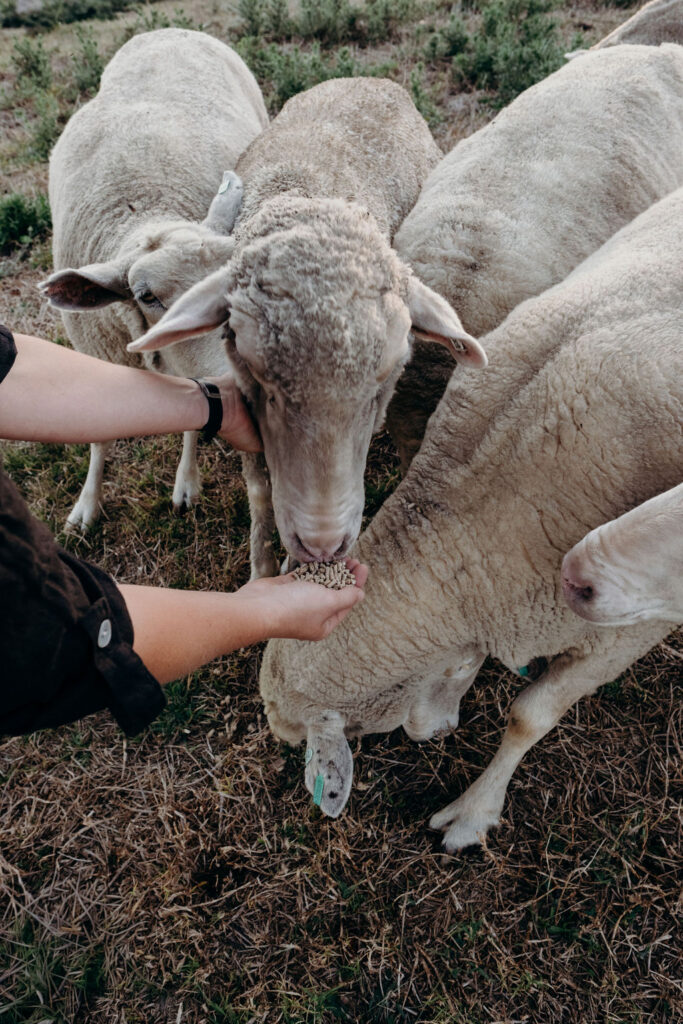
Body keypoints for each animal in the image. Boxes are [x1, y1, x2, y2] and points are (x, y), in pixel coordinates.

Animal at [39, 28, 268, 528]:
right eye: (146, 296)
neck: (144, 212)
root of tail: (166, 29)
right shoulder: (98, 357)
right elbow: (98, 435)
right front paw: (86, 506)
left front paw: (186, 484)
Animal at [127, 77, 487, 579]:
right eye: (259, 378)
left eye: (384, 384)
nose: (322, 544)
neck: (301, 194)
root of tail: (371, 80)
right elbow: (260, 493)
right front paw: (261, 569)